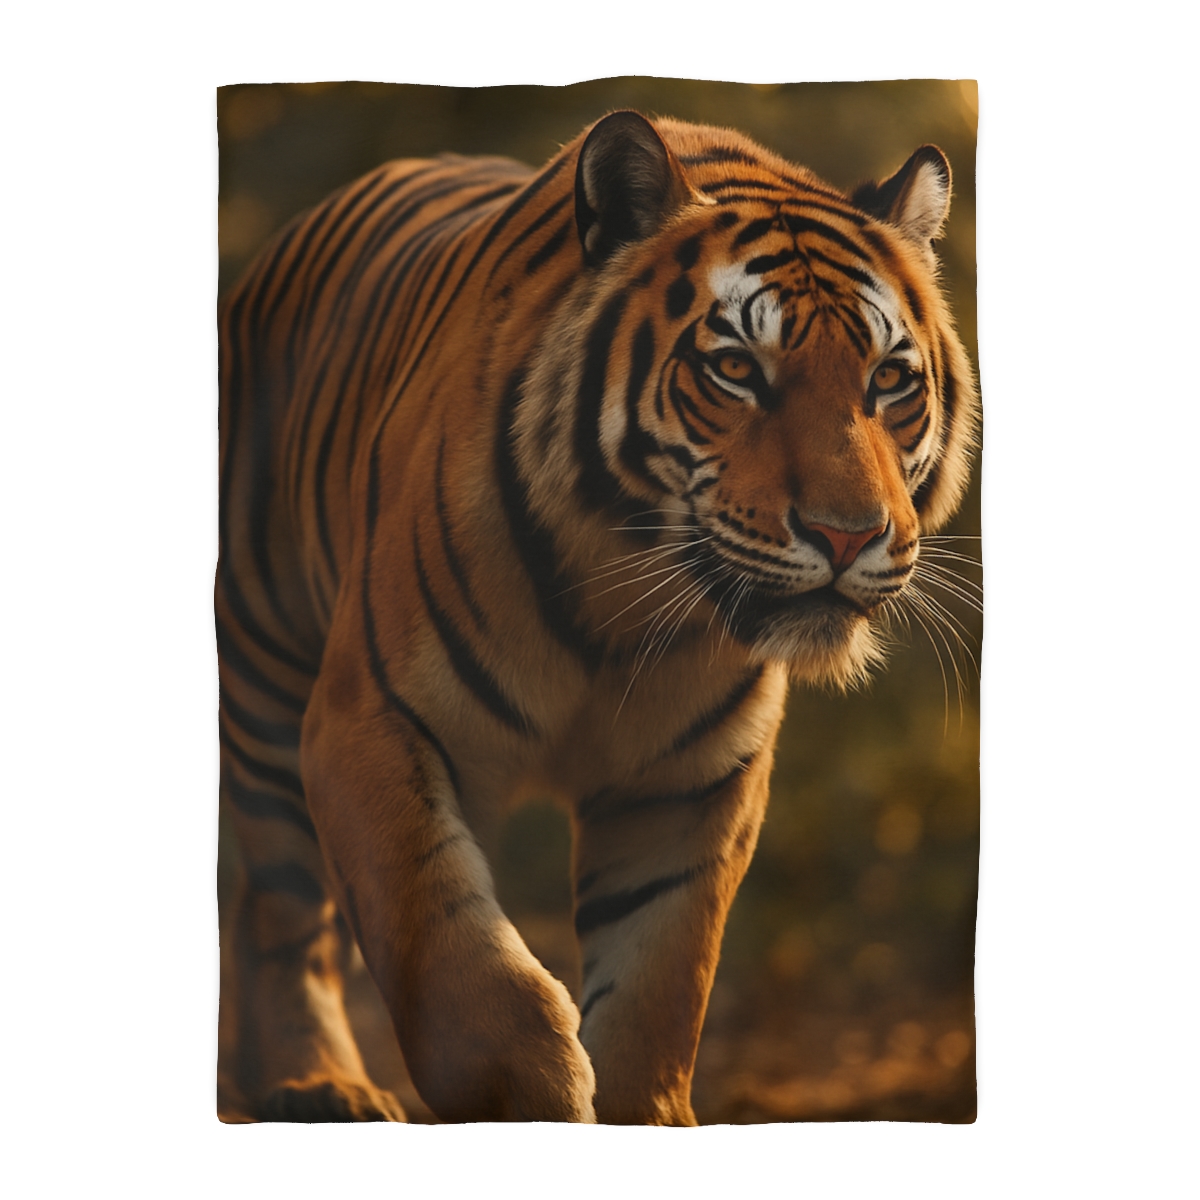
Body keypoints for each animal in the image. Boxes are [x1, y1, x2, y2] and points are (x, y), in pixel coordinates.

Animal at [217, 110, 979, 1125]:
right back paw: (315, 1083)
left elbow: (660, 982)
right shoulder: (367, 718)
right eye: (736, 369)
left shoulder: (693, 782)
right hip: (264, 679)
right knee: (279, 904)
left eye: (889, 379)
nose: (848, 534)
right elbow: (448, 954)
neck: (622, 609)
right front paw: (535, 1092)